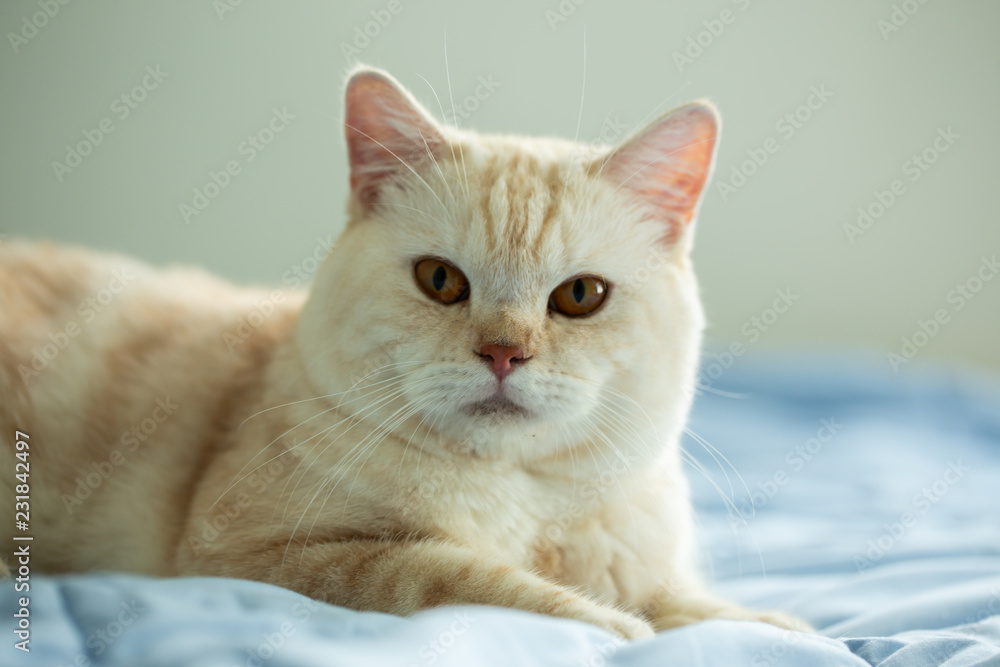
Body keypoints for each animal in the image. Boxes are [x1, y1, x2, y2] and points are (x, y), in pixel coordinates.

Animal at [0, 65, 808, 640]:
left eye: (581, 296)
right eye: (441, 281)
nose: (503, 354)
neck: (520, 498)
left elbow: (693, 604)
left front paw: (776, 626)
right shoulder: (254, 559)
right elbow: (465, 577)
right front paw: (616, 627)